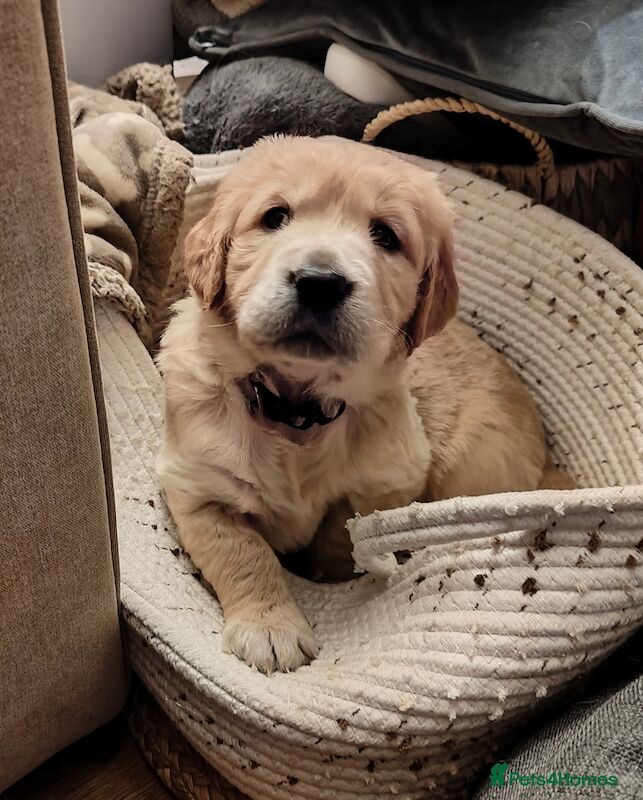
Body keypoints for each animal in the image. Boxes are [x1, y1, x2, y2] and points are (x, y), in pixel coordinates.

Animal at [158, 134, 572, 672]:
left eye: (386, 236)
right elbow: (241, 552)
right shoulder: (198, 484)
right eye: (275, 216)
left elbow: (344, 531)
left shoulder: (390, 480)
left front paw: (327, 575)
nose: (320, 281)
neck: (297, 411)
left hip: (475, 466)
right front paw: (270, 626)